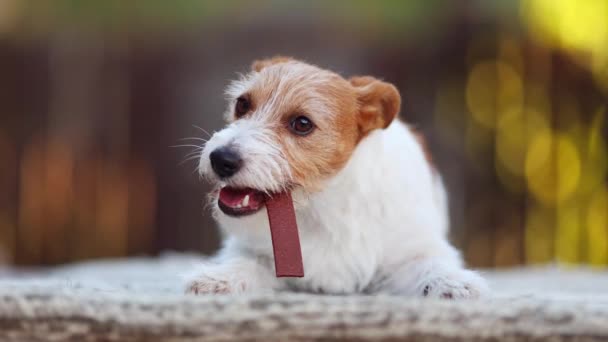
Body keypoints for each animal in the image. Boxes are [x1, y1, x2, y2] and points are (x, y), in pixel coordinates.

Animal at [186, 56, 490, 300]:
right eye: (242, 104)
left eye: (302, 124)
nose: (221, 159)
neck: (322, 204)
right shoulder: (256, 251)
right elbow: (245, 262)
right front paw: (217, 278)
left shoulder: (413, 249)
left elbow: (431, 264)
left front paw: (455, 283)